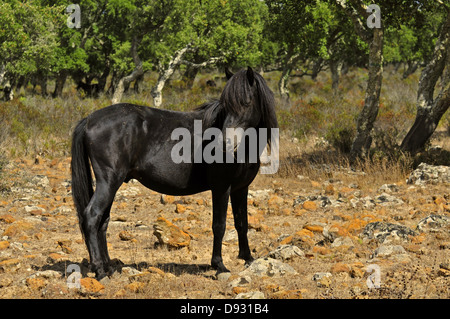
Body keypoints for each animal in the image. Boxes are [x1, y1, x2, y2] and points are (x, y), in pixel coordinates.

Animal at [70, 67, 278, 280]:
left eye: (246, 103)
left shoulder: (241, 188)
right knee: (92, 216)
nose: (223, 143)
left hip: (112, 184)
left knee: (103, 222)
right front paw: (219, 265)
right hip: (108, 181)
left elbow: (241, 223)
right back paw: (99, 270)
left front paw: (248, 258)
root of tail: (89, 120)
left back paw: (109, 267)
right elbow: (219, 226)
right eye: (226, 106)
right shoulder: (221, 188)